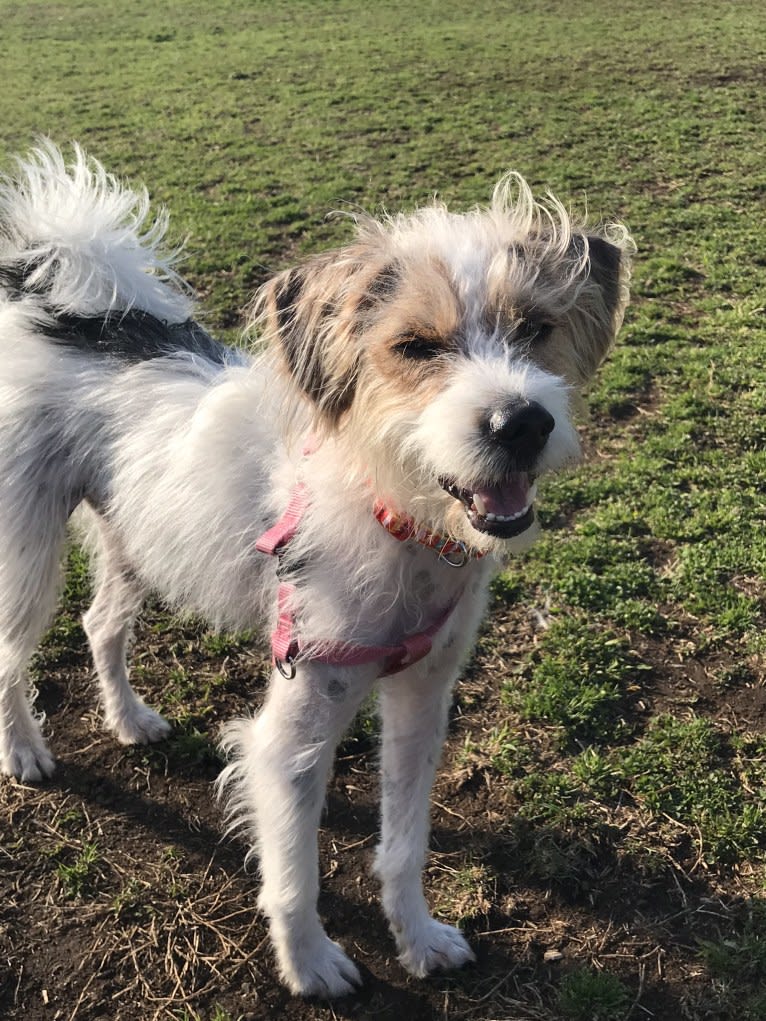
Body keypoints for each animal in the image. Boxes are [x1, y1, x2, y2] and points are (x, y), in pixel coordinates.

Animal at [0, 143, 637, 996]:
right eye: (415, 347)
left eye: (536, 329)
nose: (522, 422)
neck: (397, 517)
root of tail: (65, 312)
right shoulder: (295, 725)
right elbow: (293, 869)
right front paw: (309, 963)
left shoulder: (422, 698)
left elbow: (405, 842)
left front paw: (418, 936)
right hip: (29, 553)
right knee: (14, 653)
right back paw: (24, 751)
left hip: (139, 534)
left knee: (100, 623)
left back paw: (129, 719)